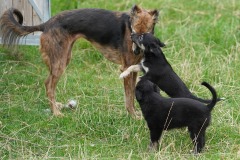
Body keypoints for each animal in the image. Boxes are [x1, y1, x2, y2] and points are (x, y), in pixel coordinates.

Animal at [0, 5, 158, 115]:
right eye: (132, 33)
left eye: (145, 34)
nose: (136, 51)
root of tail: (47, 24)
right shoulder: (125, 68)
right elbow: (129, 96)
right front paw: (132, 115)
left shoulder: (133, 69)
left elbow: (132, 94)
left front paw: (134, 113)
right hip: (60, 63)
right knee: (49, 85)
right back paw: (56, 113)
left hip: (63, 57)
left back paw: (56, 106)